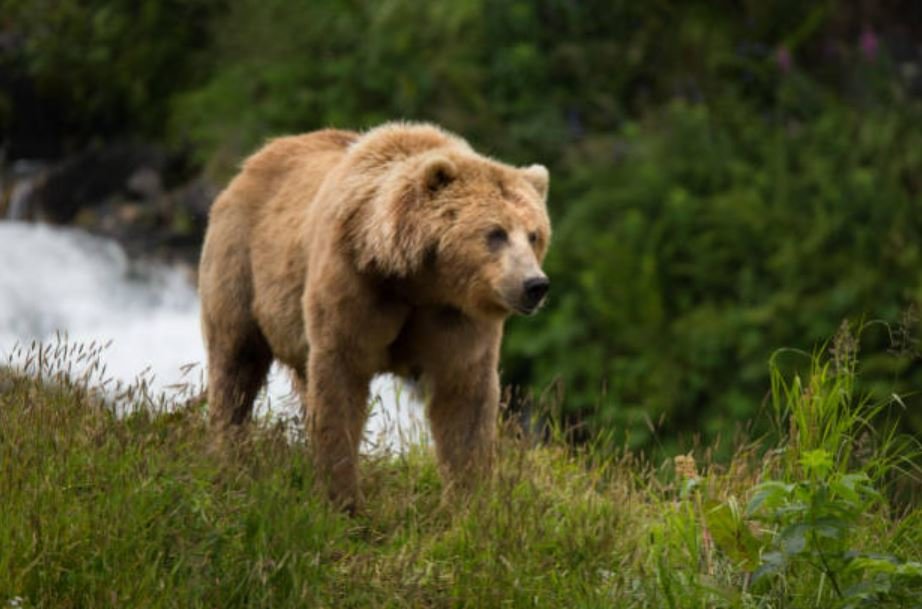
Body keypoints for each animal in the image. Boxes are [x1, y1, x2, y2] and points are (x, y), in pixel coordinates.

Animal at [198, 122, 548, 508]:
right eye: (495, 233)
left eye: (534, 235)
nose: (534, 284)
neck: (417, 280)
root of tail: (254, 161)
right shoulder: (354, 288)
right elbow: (340, 385)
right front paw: (342, 498)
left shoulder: (455, 315)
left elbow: (464, 398)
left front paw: (469, 501)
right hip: (240, 261)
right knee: (236, 363)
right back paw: (229, 455)